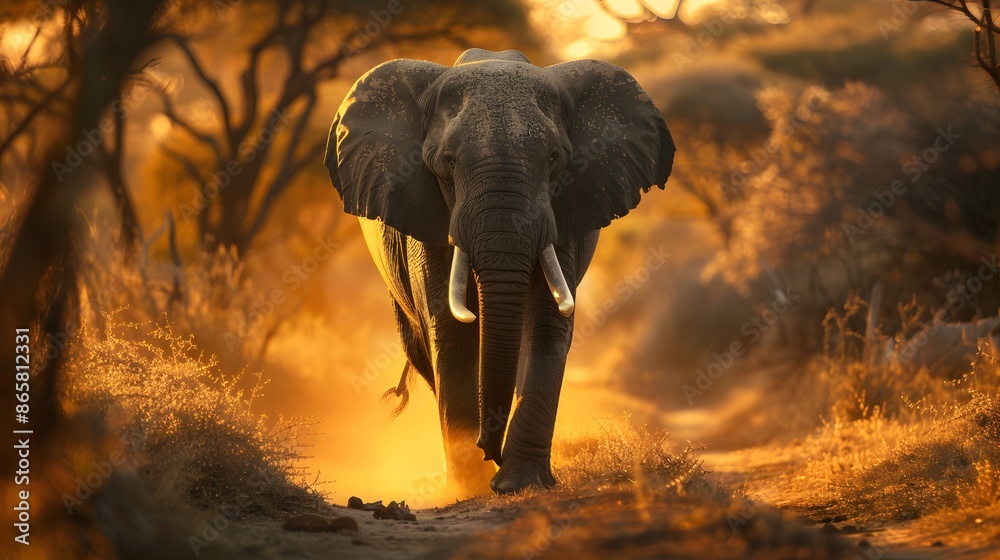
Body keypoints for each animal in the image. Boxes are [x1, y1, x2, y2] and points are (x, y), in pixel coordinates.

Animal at [324, 48, 674, 495]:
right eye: (447, 161)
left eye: (555, 159)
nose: (491, 451)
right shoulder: (427, 212)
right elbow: (450, 330)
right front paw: (470, 487)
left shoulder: (566, 210)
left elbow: (547, 323)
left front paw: (519, 483)